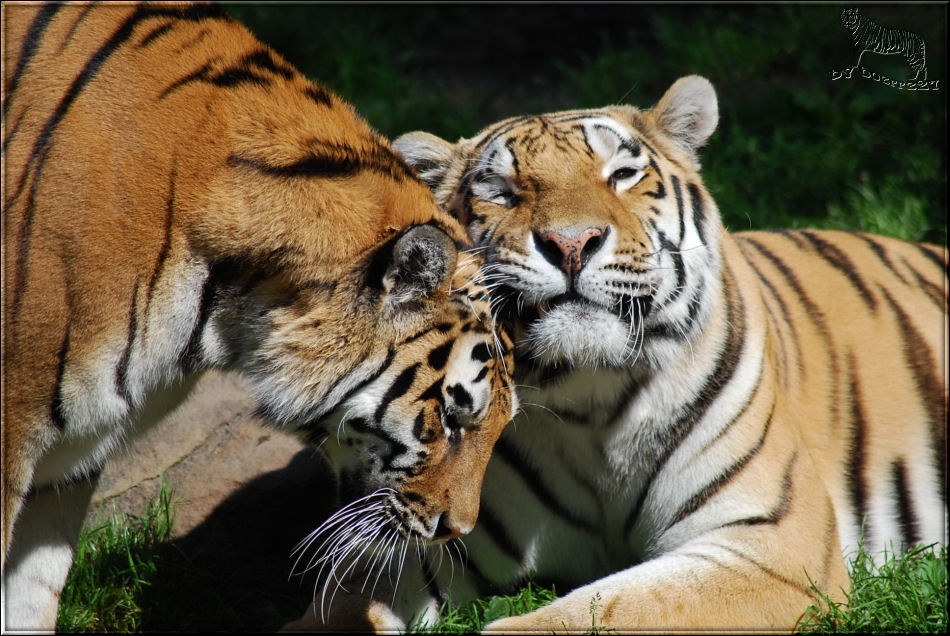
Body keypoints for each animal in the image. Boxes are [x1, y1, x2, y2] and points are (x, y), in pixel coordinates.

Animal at [374, 74, 944, 632]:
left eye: (623, 175)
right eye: (501, 191)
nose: (571, 243)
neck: (588, 397)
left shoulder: (774, 543)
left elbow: (609, 609)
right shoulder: (426, 533)